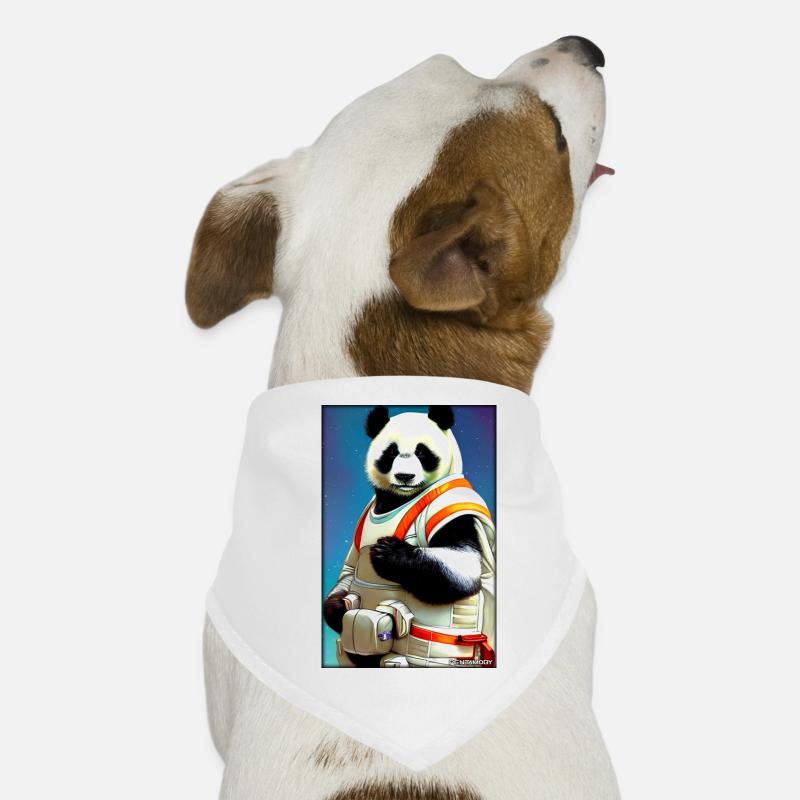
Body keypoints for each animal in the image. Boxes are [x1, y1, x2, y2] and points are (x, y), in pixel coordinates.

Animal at [324, 405, 496, 667]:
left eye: (422, 452)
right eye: (391, 452)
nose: (405, 476)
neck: (399, 499)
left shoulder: (453, 510)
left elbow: (463, 565)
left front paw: (388, 552)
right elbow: (349, 569)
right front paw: (335, 609)